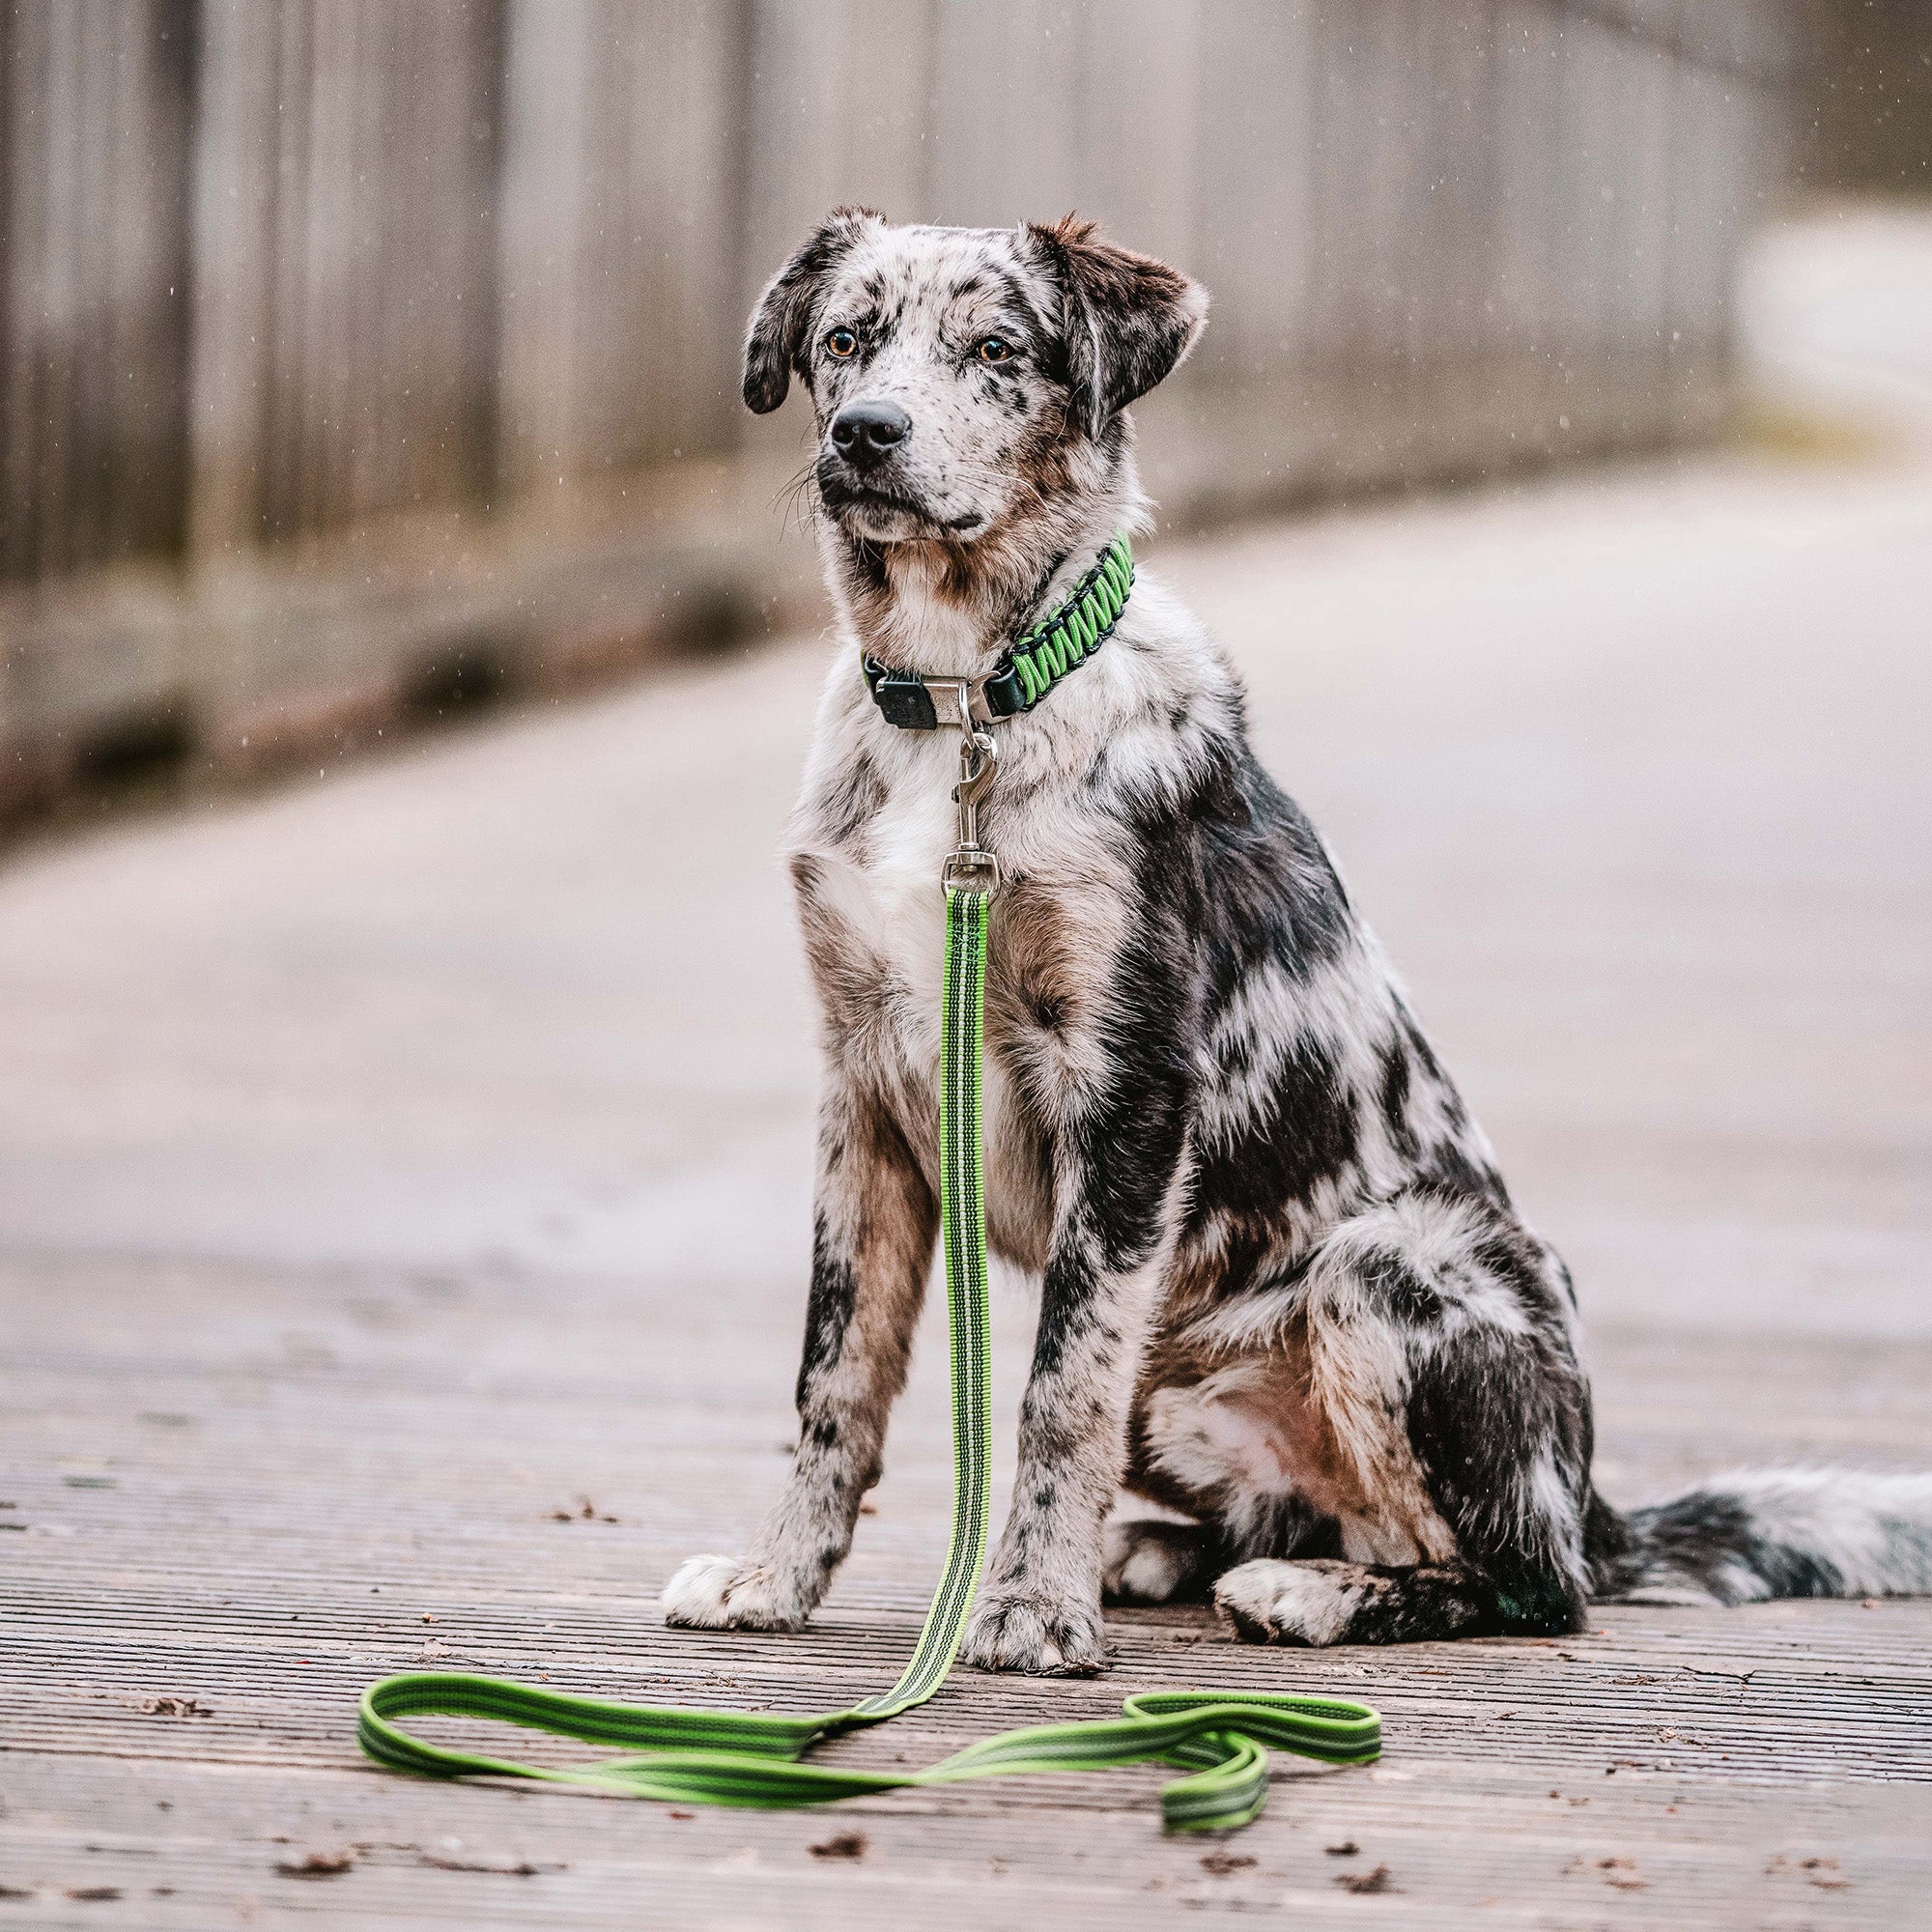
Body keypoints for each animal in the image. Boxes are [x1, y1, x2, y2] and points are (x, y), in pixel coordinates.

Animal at [665, 204, 1932, 1669]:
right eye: (843, 340)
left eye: (995, 349)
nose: (866, 432)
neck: (969, 706)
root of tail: (1591, 1498)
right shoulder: (863, 1088)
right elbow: (837, 1374)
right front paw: (776, 1579)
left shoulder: (1131, 1086)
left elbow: (1054, 1390)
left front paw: (1032, 1608)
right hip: (1192, 1376)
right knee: (1326, 1515)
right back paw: (1162, 1554)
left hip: (1395, 1265)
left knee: (1525, 1581)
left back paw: (1308, 1595)